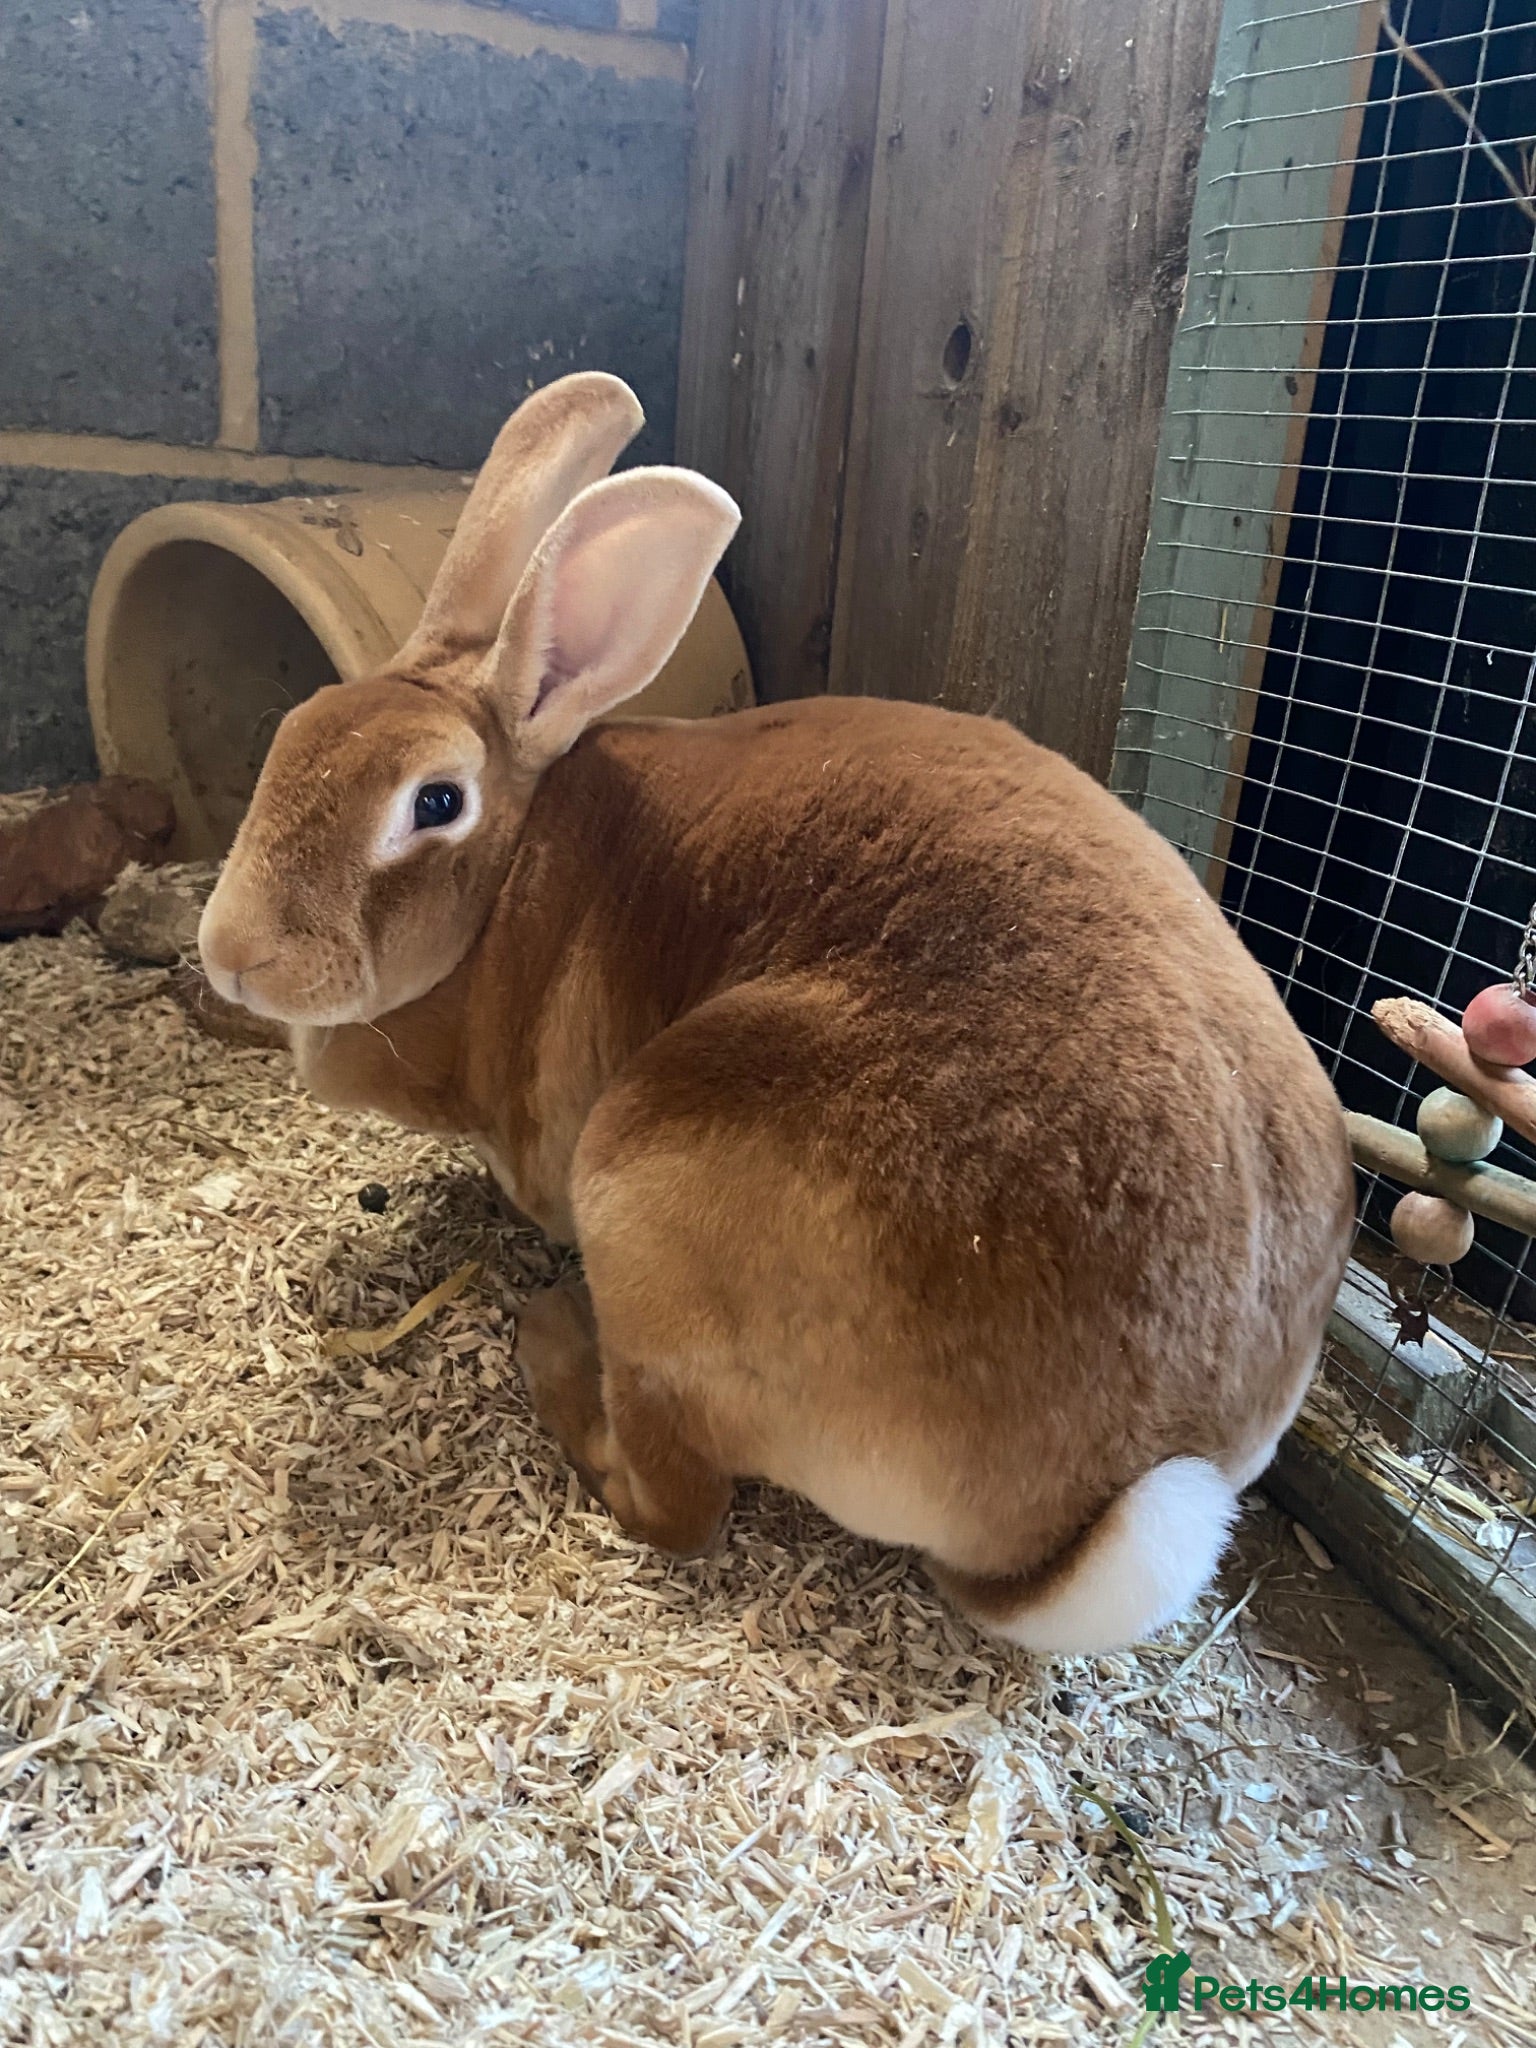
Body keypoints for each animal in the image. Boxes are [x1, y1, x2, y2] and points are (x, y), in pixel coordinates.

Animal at [200, 370, 1354, 1656]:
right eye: (293, 730)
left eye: (435, 802)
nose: (231, 955)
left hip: (646, 1181)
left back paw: (554, 1344)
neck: (514, 877)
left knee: (677, 1502)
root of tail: (1101, 1504)